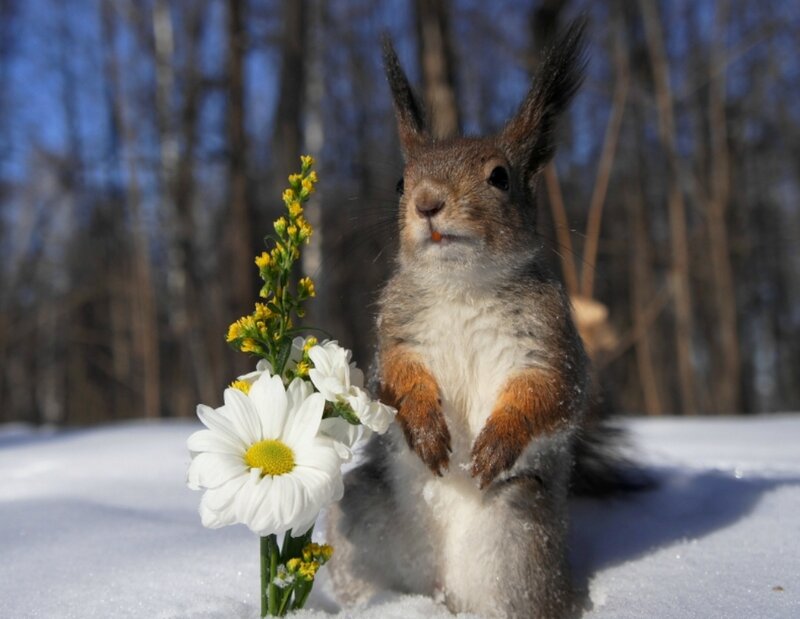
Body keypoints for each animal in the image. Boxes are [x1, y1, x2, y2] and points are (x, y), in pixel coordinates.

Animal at [328, 22, 612, 618]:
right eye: (400, 182)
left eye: (500, 177)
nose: (428, 203)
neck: (463, 288)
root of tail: (438, 584)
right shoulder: (398, 332)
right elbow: (395, 379)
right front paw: (426, 427)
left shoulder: (550, 339)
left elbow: (553, 393)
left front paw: (496, 442)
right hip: (359, 514)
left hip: (518, 536)